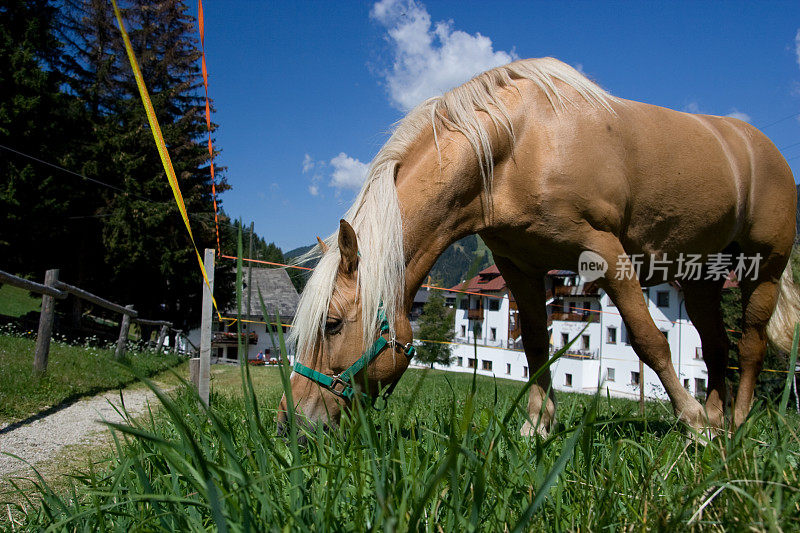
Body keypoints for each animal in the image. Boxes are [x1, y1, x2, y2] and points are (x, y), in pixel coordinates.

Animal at [278, 56, 796, 434]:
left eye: (332, 324)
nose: (290, 424)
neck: (515, 147)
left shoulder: (605, 252)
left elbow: (649, 340)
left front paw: (690, 421)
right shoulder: (519, 268)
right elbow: (533, 346)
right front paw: (536, 427)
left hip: (765, 267)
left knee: (751, 346)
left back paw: (735, 424)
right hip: (702, 278)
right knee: (717, 347)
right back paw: (718, 418)